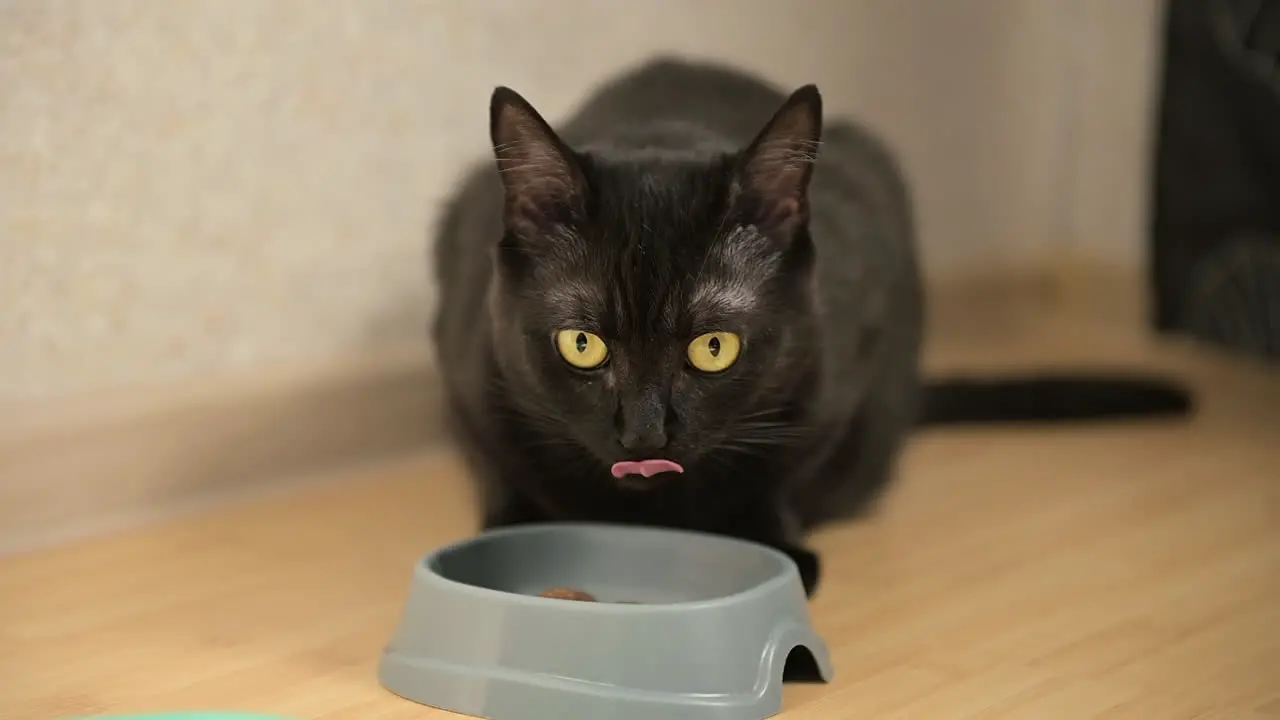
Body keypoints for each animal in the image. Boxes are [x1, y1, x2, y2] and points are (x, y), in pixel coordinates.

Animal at [430, 57, 1187, 594]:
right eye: (581, 344)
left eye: (714, 348)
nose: (644, 436)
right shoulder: (468, 374)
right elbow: (500, 463)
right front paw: (509, 533)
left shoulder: (840, 367)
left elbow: (786, 470)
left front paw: (775, 541)